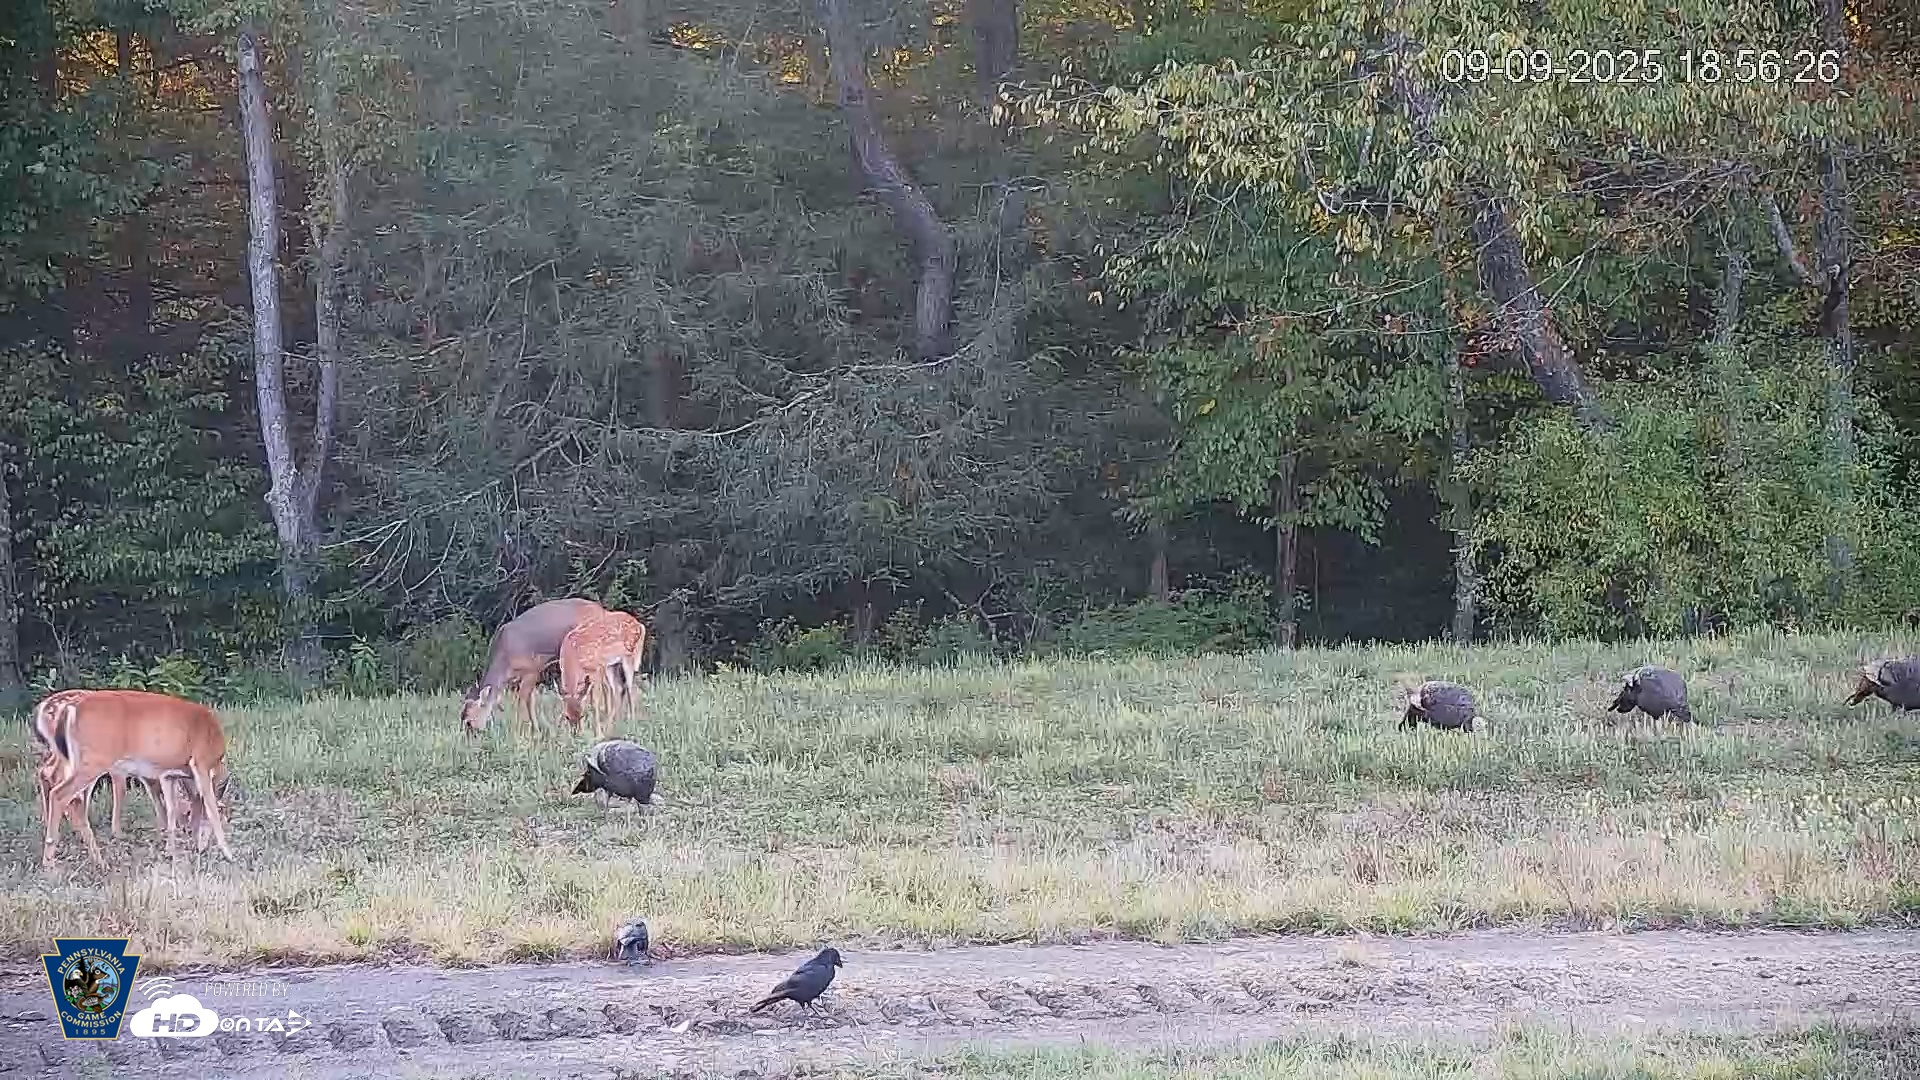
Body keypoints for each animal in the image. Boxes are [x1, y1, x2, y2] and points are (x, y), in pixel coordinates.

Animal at [40, 689, 235, 870]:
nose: (200, 848)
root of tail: (71, 709)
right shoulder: (201, 762)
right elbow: (211, 808)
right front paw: (229, 854)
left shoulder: (168, 774)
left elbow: (171, 810)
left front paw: (170, 850)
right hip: (94, 760)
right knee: (61, 794)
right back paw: (51, 862)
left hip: (76, 761)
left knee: (62, 789)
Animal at [461, 597, 607, 735]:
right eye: (462, 717)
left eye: (469, 721)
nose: (470, 736)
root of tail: (601, 610)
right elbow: (530, 701)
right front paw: (535, 732)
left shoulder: (532, 670)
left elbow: (522, 701)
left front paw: (518, 732)